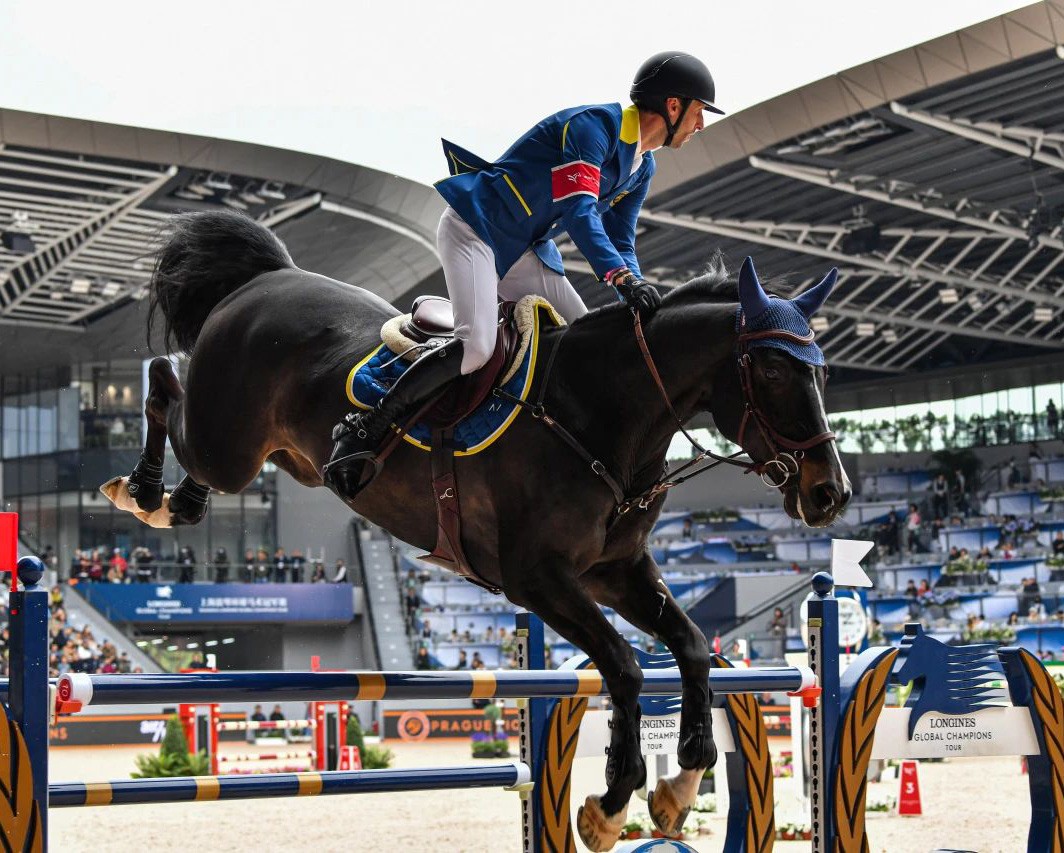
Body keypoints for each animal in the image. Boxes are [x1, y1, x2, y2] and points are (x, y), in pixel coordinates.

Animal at [102, 210, 850, 851]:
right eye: (774, 368)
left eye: (822, 371)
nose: (830, 494)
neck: (595, 410)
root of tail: (264, 281)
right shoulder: (537, 578)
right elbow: (626, 665)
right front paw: (610, 805)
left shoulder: (615, 571)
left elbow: (691, 647)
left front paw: (678, 786)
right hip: (228, 443)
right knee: (165, 384)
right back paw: (143, 492)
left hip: (287, 458)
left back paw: (179, 498)